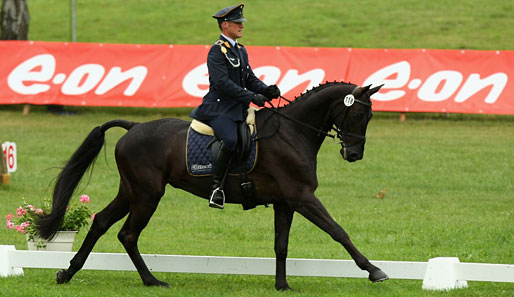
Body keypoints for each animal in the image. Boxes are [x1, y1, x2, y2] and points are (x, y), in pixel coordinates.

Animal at [35, 81, 384, 290]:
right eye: (358, 114)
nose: (354, 154)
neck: (292, 132)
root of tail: (133, 127)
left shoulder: (286, 202)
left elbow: (281, 245)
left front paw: (282, 285)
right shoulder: (302, 197)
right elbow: (338, 231)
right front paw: (373, 270)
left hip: (131, 191)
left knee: (102, 223)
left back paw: (68, 272)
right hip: (147, 194)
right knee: (128, 234)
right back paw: (151, 280)